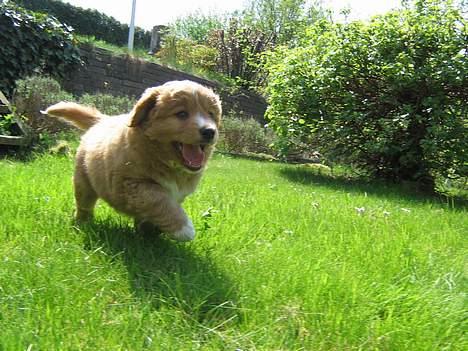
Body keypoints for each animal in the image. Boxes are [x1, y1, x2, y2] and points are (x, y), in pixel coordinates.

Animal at [45, 80, 223, 242]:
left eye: (211, 114)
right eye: (181, 114)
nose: (209, 131)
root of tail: (102, 121)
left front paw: (150, 233)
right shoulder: (131, 184)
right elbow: (159, 199)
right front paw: (184, 229)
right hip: (84, 181)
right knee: (84, 204)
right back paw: (83, 223)